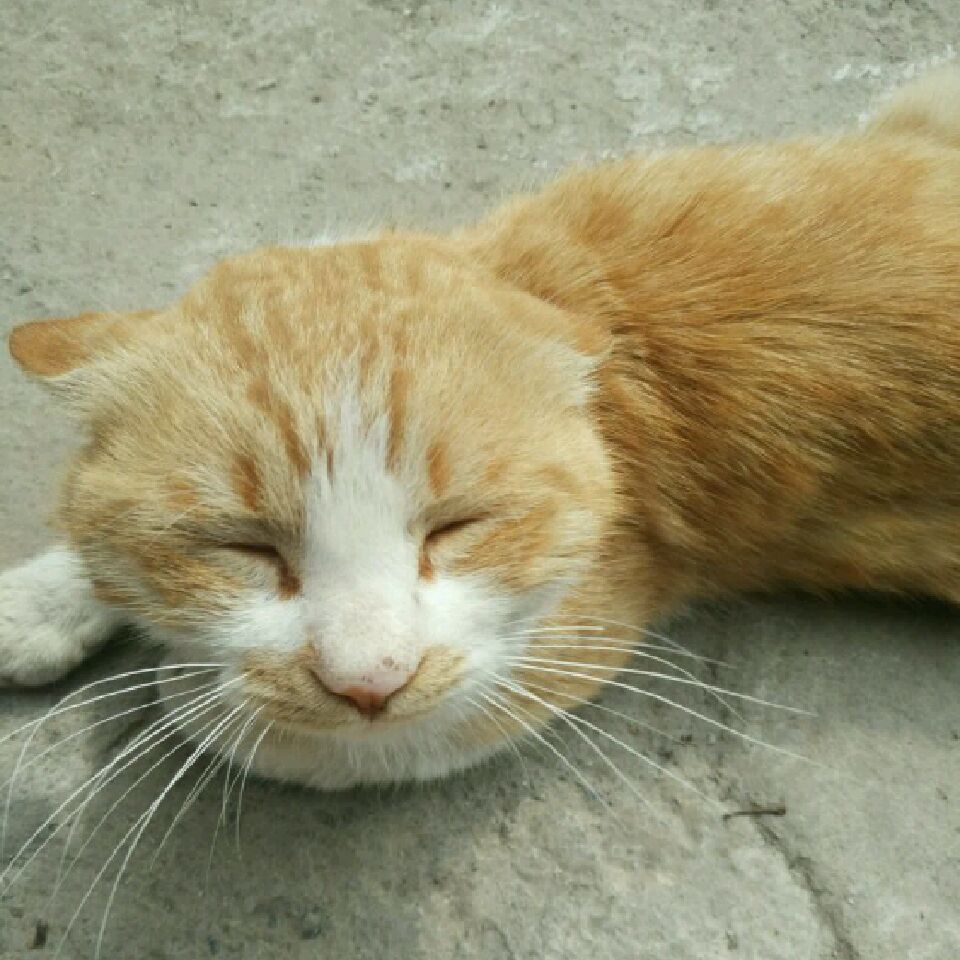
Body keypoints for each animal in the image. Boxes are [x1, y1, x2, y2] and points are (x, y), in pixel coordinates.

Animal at [2, 68, 960, 790]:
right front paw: (51, 598)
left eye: (457, 528)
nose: (367, 682)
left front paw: (186, 683)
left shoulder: (570, 638)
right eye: (242, 545)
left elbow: (314, 735)